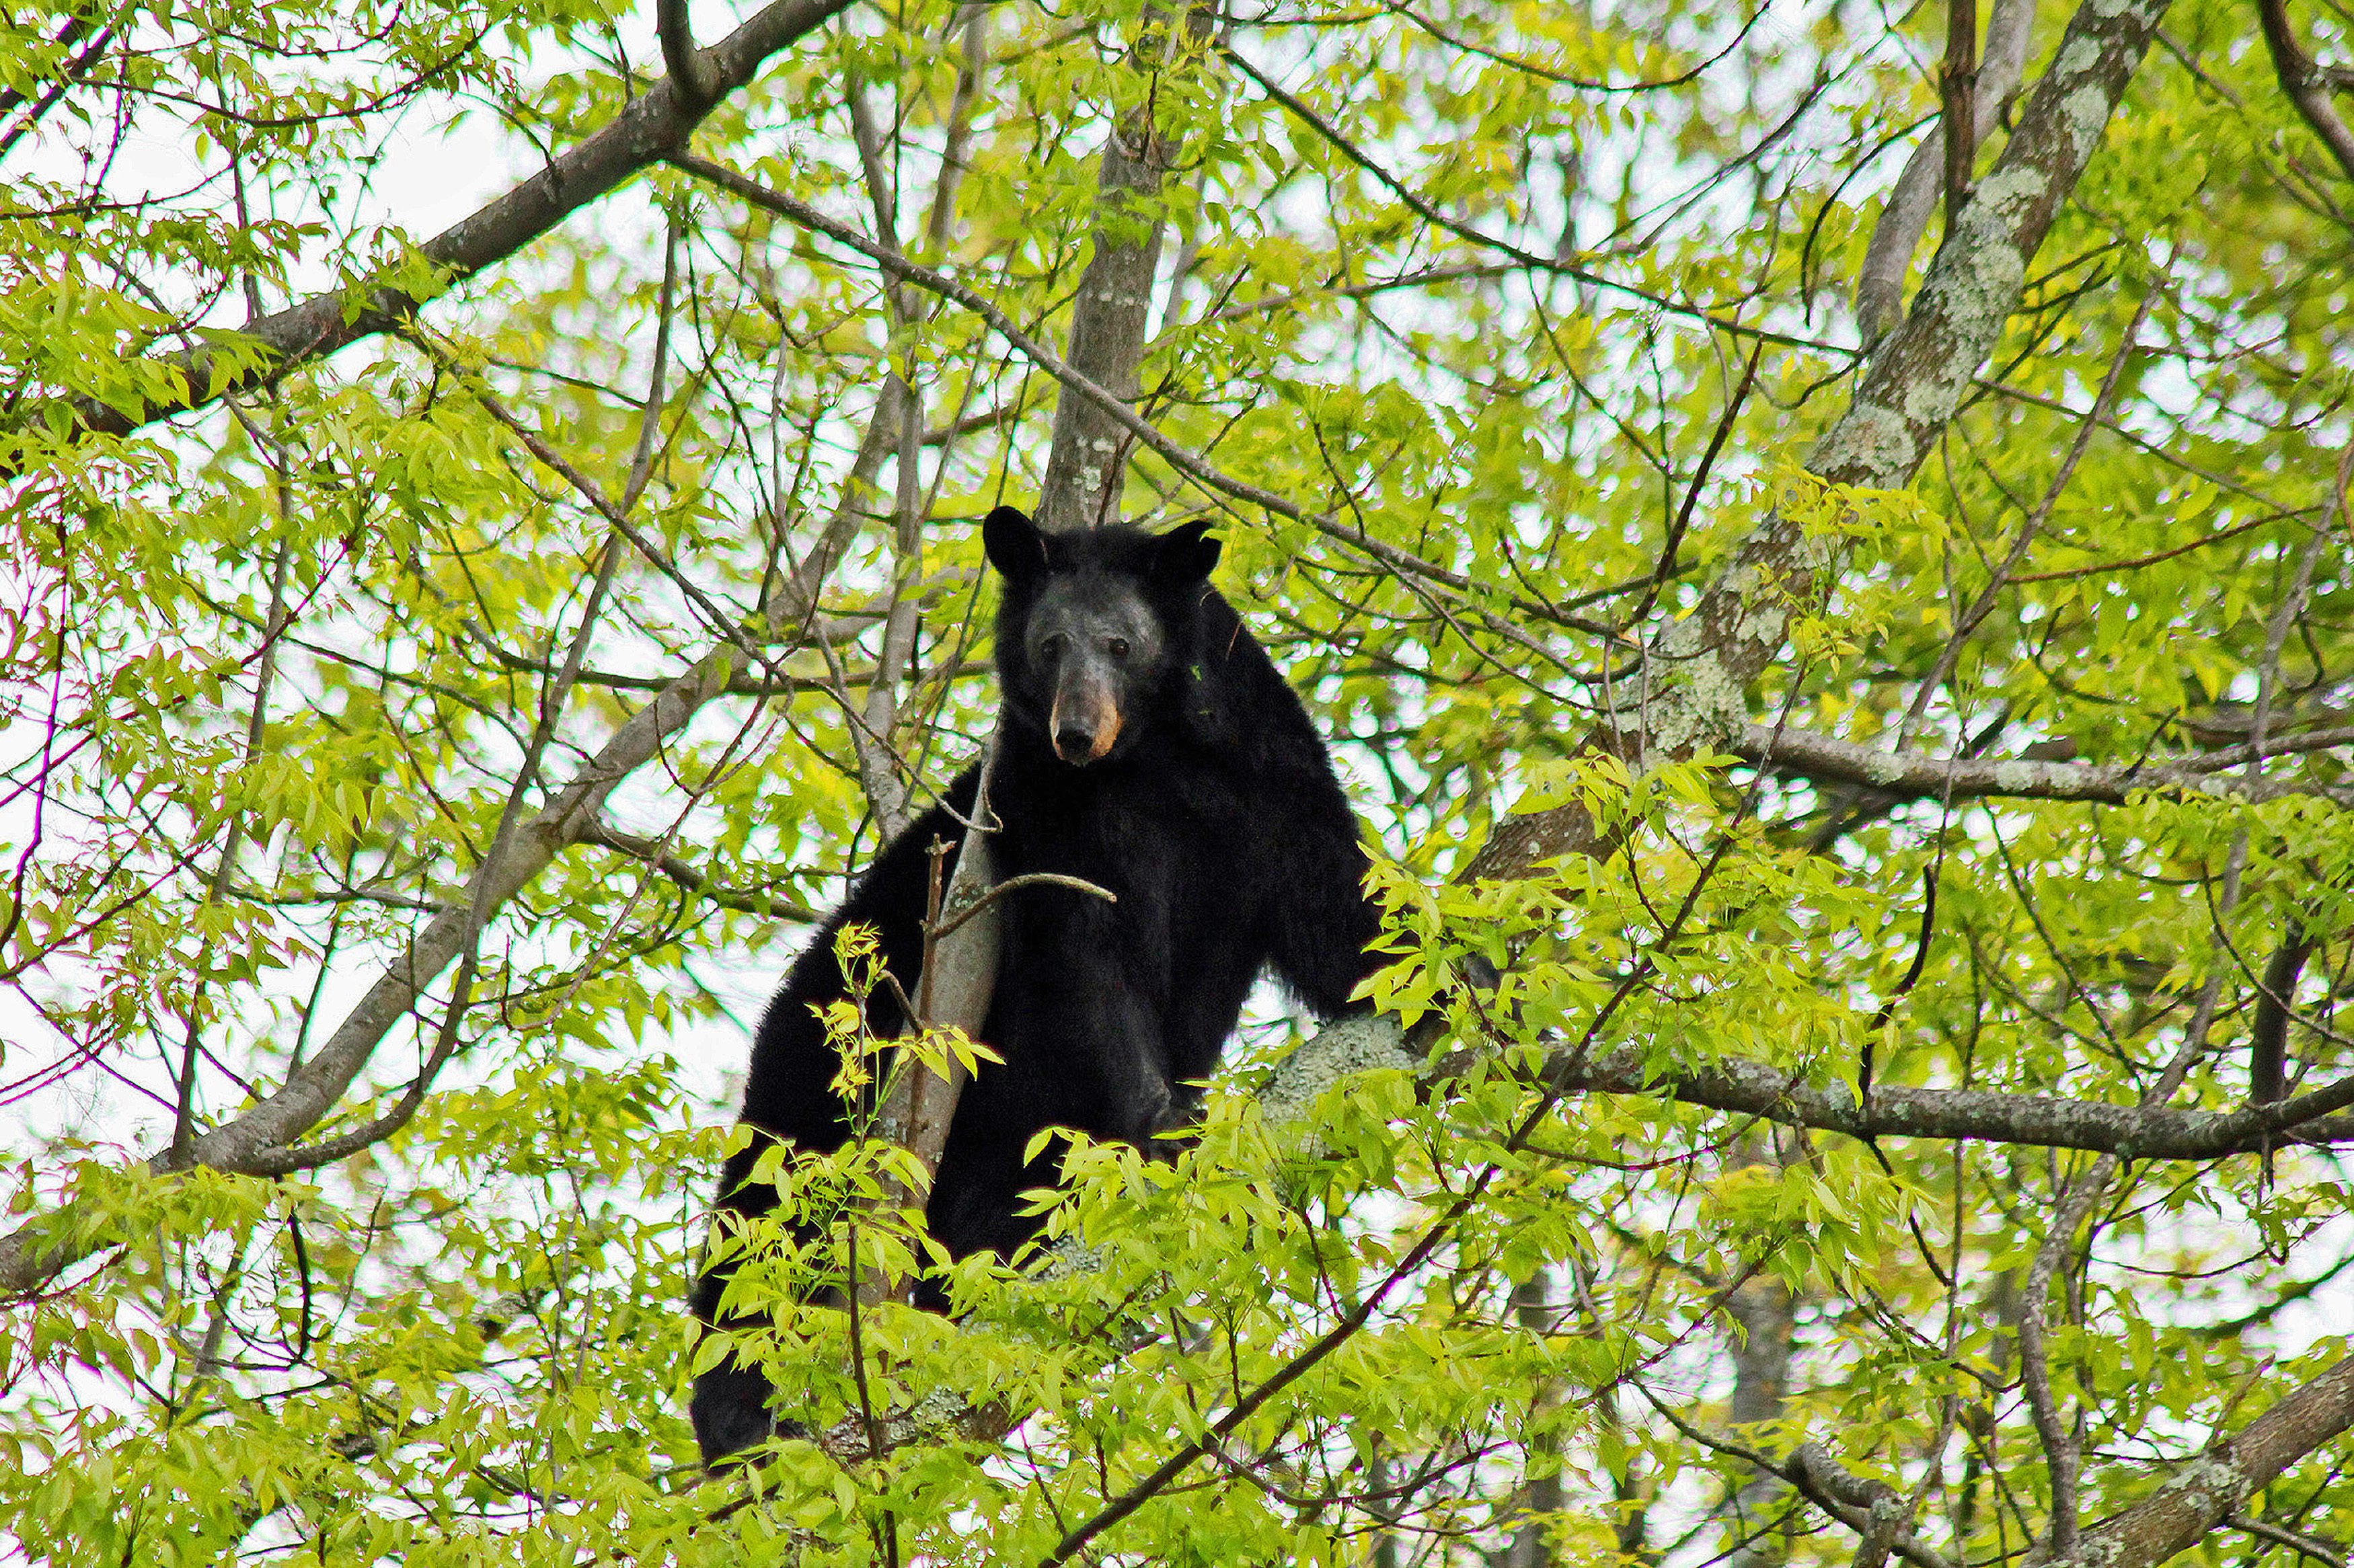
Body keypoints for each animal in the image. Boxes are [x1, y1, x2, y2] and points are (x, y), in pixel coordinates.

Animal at [687, 506, 1375, 1459]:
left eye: (1121, 642)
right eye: (1050, 646)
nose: (1074, 732)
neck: (1148, 762)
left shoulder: (1264, 778)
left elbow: (1333, 902)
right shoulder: (1041, 815)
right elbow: (1086, 963)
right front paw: (1162, 1122)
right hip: (827, 1045)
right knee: (769, 1212)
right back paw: (740, 1411)